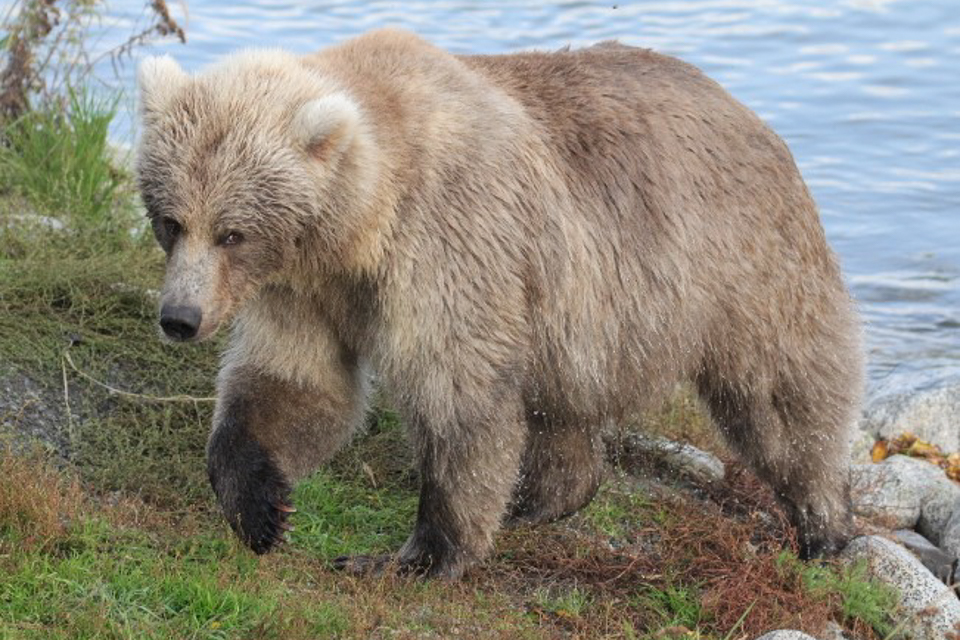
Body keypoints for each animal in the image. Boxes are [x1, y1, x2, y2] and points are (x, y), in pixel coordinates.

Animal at [136, 28, 863, 579]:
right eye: (171, 220)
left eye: (233, 232)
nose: (180, 319)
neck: (363, 223)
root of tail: (752, 114)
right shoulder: (308, 285)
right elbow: (292, 382)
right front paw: (262, 509)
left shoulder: (451, 240)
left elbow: (457, 395)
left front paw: (413, 556)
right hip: (575, 314)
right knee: (560, 408)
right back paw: (539, 499)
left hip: (739, 265)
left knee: (781, 394)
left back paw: (823, 523)